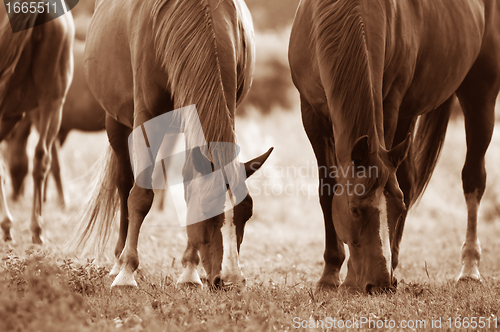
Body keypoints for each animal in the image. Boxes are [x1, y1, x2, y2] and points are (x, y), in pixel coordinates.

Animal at [5, 38, 105, 208]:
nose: (15, 197)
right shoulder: (58, 132)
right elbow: (50, 164)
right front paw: (44, 198)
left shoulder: (42, 123)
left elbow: (54, 165)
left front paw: (61, 201)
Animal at [72, 0, 272, 288]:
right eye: (208, 211)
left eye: (247, 213)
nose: (231, 280)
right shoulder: (146, 119)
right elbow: (140, 196)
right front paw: (127, 272)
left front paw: (189, 269)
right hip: (116, 123)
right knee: (123, 183)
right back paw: (118, 261)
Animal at [290, 0, 500, 292]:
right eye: (355, 210)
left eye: (398, 210)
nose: (381, 284)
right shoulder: (310, 114)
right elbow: (328, 191)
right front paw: (330, 274)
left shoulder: (389, 105)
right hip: (409, 114)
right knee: (409, 179)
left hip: (480, 97)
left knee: (473, 179)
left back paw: (469, 267)